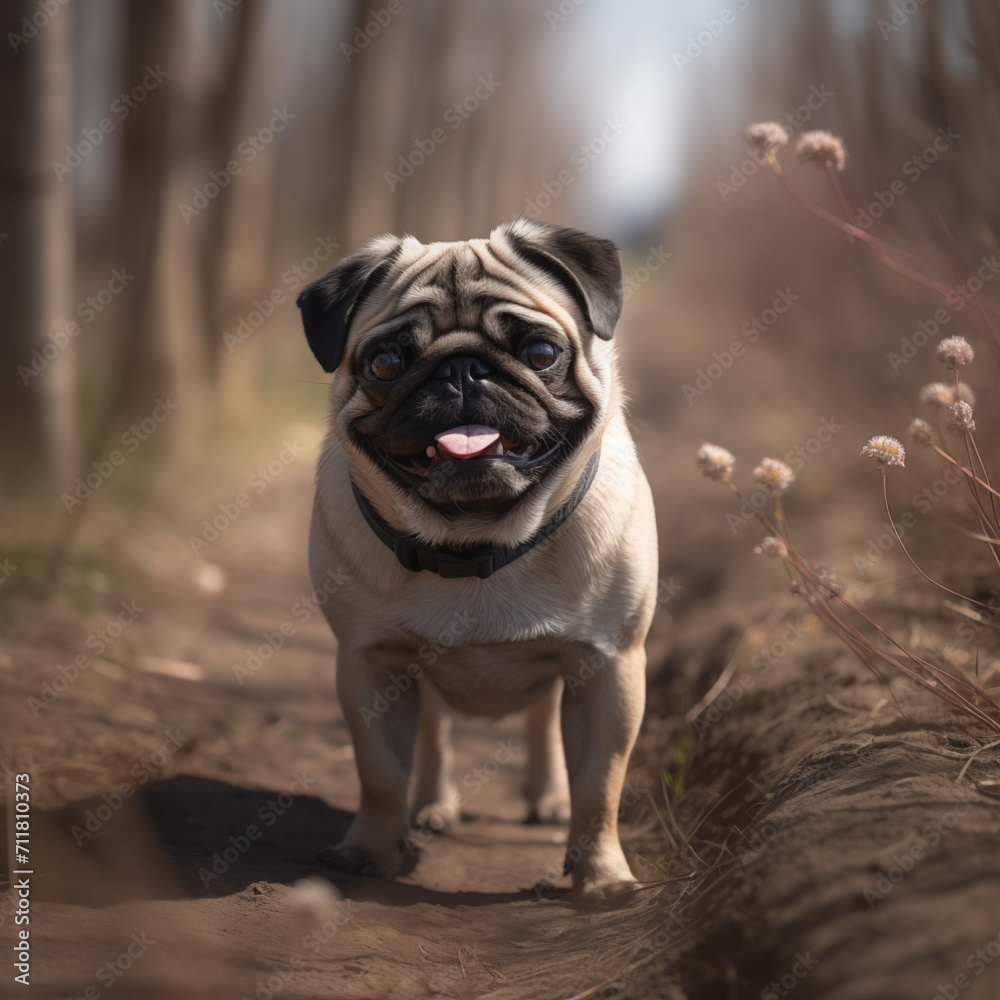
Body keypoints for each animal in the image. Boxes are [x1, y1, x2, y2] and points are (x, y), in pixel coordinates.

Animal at [294, 219, 656, 900]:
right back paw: (434, 809)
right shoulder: (369, 665)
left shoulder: (608, 669)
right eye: (386, 362)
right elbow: (381, 775)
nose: (461, 370)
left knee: (541, 726)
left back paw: (549, 800)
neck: (476, 544)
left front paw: (600, 877)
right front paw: (369, 852)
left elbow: (601, 789)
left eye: (541, 353)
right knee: (435, 738)